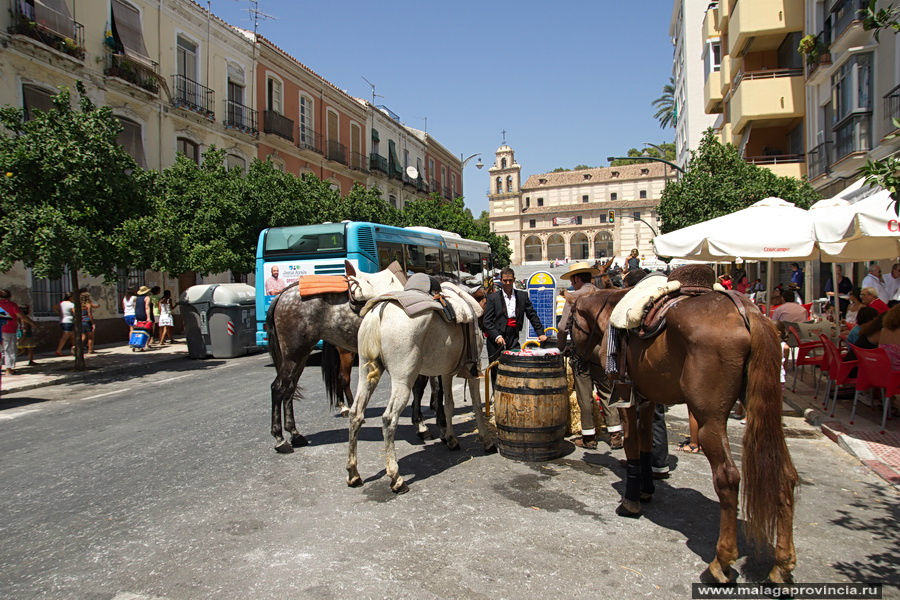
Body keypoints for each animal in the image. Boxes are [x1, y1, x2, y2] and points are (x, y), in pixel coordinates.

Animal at [346, 288, 500, 494]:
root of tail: (380, 310)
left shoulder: (446, 372)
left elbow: (448, 404)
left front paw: (451, 439)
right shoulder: (472, 371)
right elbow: (476, 406)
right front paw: (486, 441)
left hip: (366, 372)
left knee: (356, 414)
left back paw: (353, 473)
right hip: (403, 379)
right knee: (389, 419)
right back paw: (396, 478)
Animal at [568, 288, 796, 584]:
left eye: (569, 322)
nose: (571, 356)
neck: (611, 314)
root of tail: (748, 311)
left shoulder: (625, 396)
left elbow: (632, 444)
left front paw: (630, 502)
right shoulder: (647, 396)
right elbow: (646, 443)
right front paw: (646, 489)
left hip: (709, 418)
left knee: (728, 478)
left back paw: (721, 562)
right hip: (762, 407)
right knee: (784, 474)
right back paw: (782, 564)